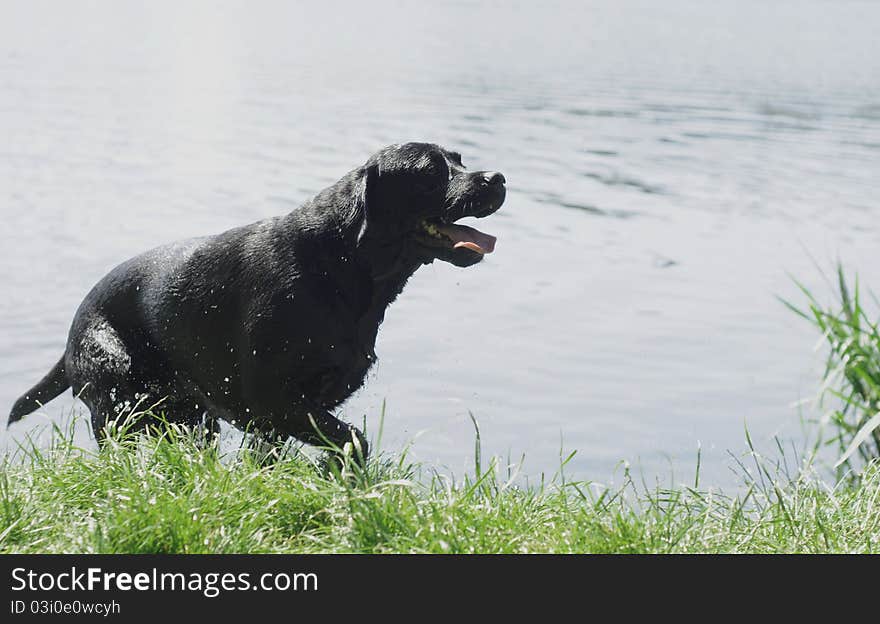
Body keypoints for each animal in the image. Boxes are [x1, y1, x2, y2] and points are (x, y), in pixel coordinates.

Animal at [6, 145, 506, 458]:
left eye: (459, 159)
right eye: (429, 171)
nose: (497, 178)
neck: (340, 261)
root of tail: (72, 331)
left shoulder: (284, 415)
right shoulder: (272, 401)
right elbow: (354, 439)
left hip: (192, 420)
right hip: (119, 399)